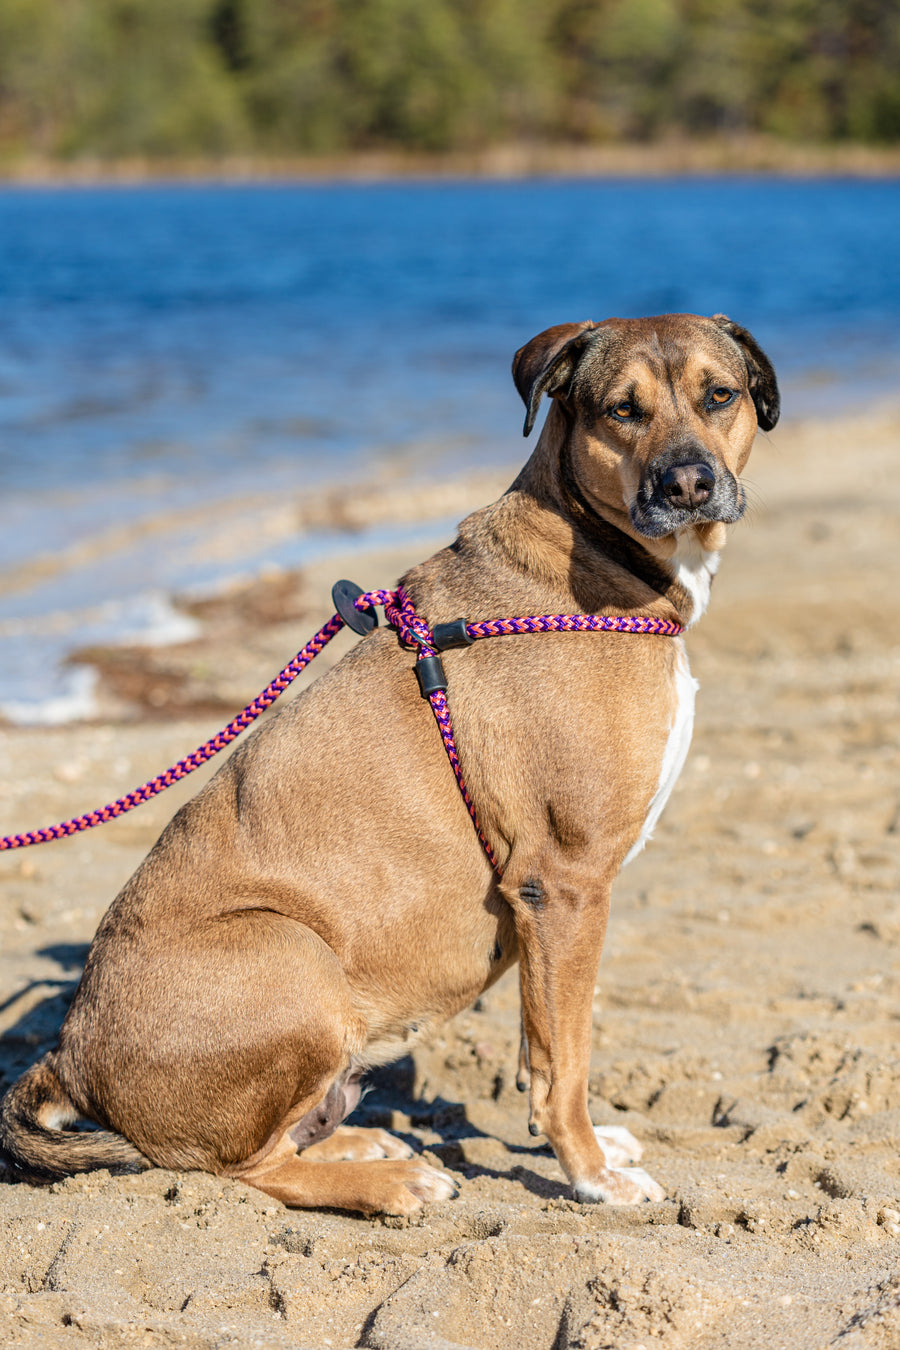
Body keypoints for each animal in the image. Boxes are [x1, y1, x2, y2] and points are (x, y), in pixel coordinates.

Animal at [0, 313, 777, 1215]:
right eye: (622, 410)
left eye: (718, 395)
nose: (688, 483)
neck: (589, 549)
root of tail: (69, 1057)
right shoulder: (566, 882)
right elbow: (566, 1062)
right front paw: (590, 1173)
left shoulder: (542, 909)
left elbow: (541, 1044)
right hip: (293, 956)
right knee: (247, 1167)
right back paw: (390, 1181)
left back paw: (362, 1141)